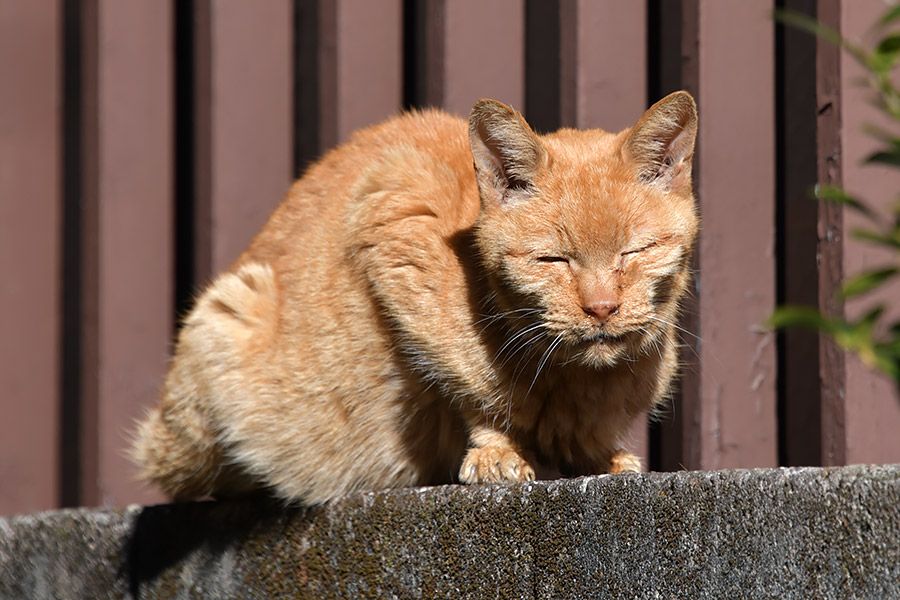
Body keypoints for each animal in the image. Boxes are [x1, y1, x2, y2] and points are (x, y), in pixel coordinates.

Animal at [132, 91, 696, 504]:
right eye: (553, 260)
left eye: (636, 251)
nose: (601, 308)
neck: (576, 380)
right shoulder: (392, 205)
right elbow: (468, 392)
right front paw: (496, 451)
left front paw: (599, 455)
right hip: (221, 323)